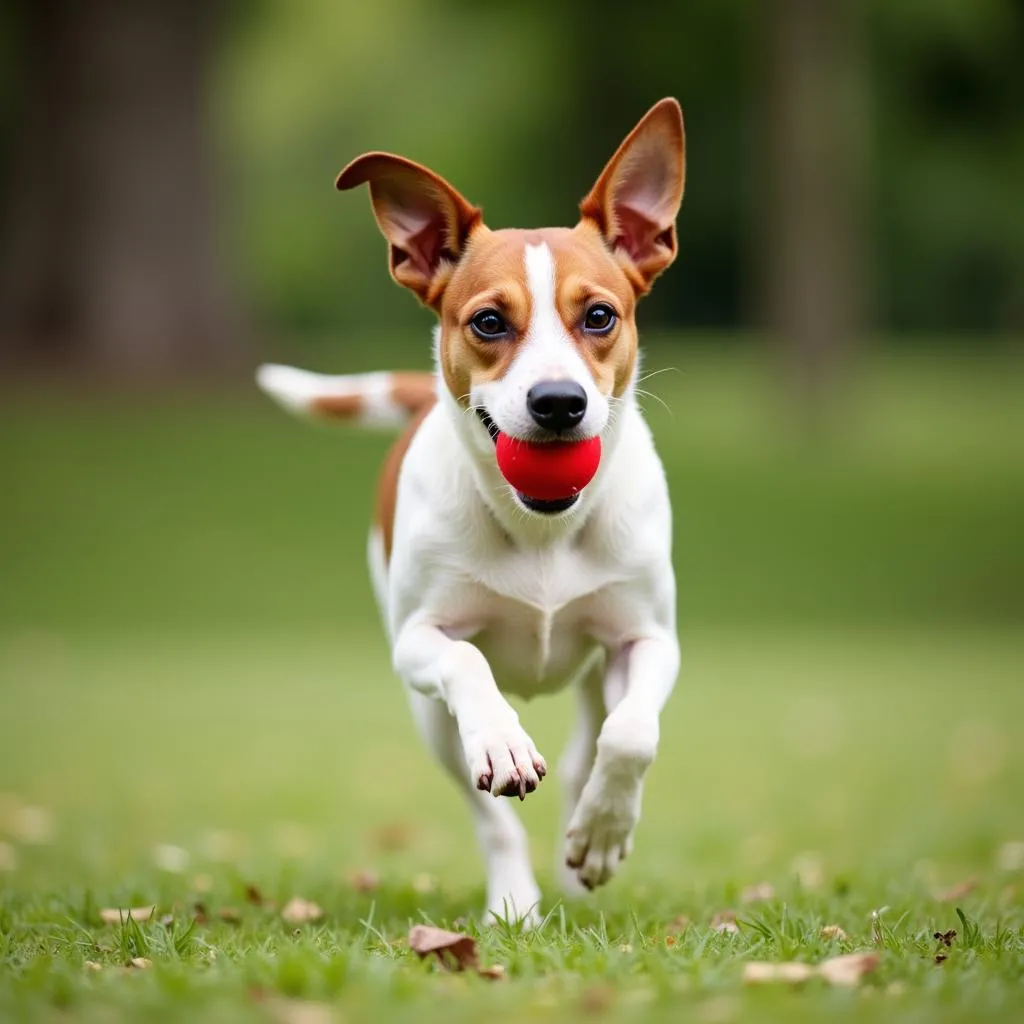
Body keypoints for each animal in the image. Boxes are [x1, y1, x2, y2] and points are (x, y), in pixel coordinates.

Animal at [258, 97, 688, 929]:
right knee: (488, 808)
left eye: (599, 316)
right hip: (429, 721)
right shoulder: (419, 640)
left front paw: (602, 833)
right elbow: (465, 664)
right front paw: (505, 744)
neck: (543, 527)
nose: (559, 402)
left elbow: (632, 736)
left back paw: (580, 851)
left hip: (593, 674)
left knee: (591, 743)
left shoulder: (646, 637)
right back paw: (515, 899)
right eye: (489, 323)